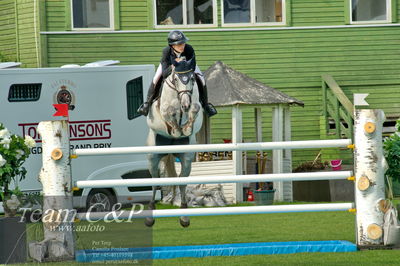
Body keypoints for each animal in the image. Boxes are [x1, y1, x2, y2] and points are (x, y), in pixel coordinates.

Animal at [145, 61, 203, 228]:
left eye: (192, 78)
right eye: (176, 79)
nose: (185, 104)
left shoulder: (196, 106)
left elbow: (195, 108)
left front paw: (186, 128)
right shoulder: (163, 109)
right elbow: (168, 110)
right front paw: (177, 129)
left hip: (186, 158)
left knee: (182, 181)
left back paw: (184, 217)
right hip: (152, 157)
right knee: (154, 182)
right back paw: (150, 216)